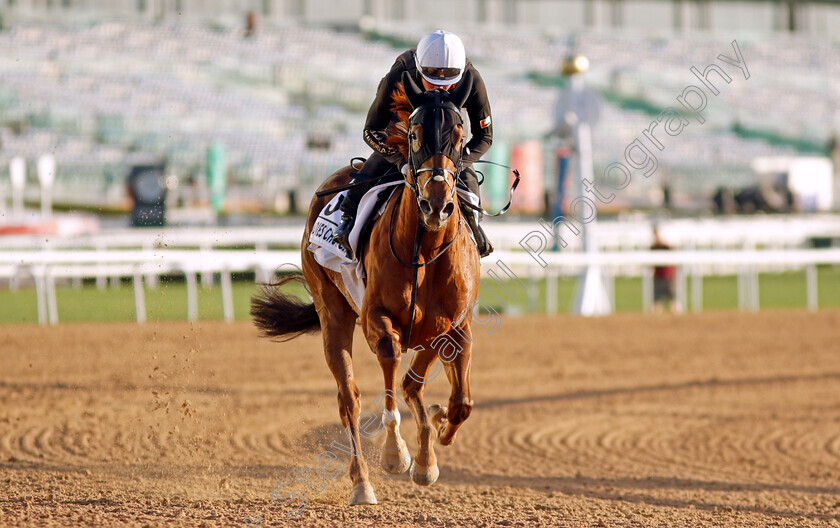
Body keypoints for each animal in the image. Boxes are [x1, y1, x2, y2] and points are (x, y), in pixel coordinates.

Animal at [249, 72, 480, 506]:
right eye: (414, 134)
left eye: (460, 136)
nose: (436, 203)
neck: (426, 250)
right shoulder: (378, 321)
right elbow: (391, 378)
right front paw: (396, 454)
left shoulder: (452, 326)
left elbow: (458, 402)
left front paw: (432, 445)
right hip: (333, 313)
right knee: (349, 400)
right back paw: (362, 483)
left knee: (415, 388)